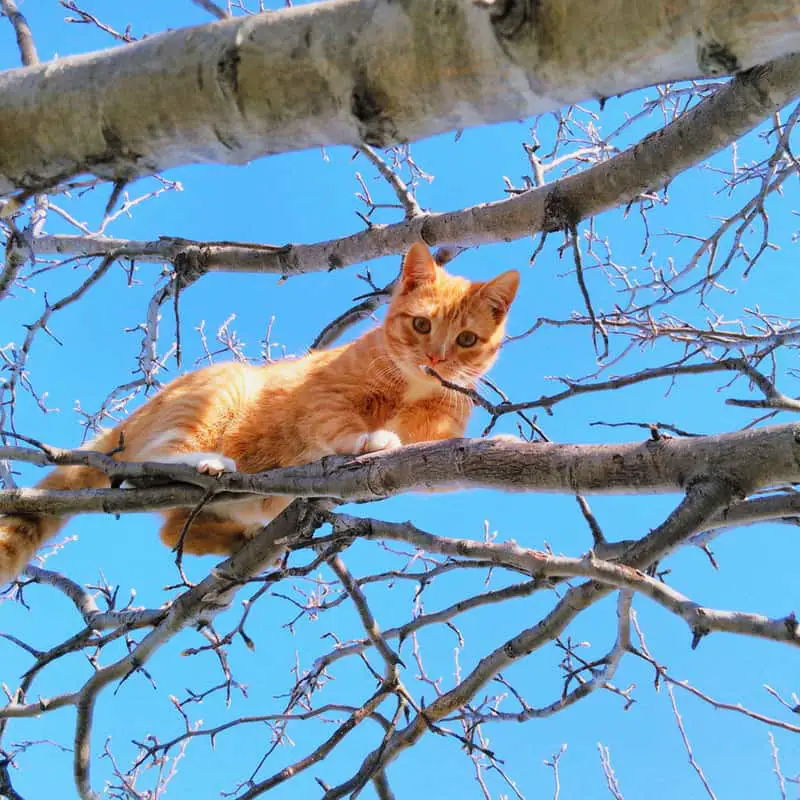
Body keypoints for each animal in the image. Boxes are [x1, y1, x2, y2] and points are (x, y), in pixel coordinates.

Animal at [0, 241, 520, 584]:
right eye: (421, 325)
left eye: (466, 340)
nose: (435, 358)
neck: (412, 388)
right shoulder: (324, 396)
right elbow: (340, 422)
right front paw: (367, 438)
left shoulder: (432, 440)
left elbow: (443, 456)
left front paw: (501, 444)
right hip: (218, 392)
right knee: (154, 460)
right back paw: (202, 464)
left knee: (171, 531)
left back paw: (242, 540)